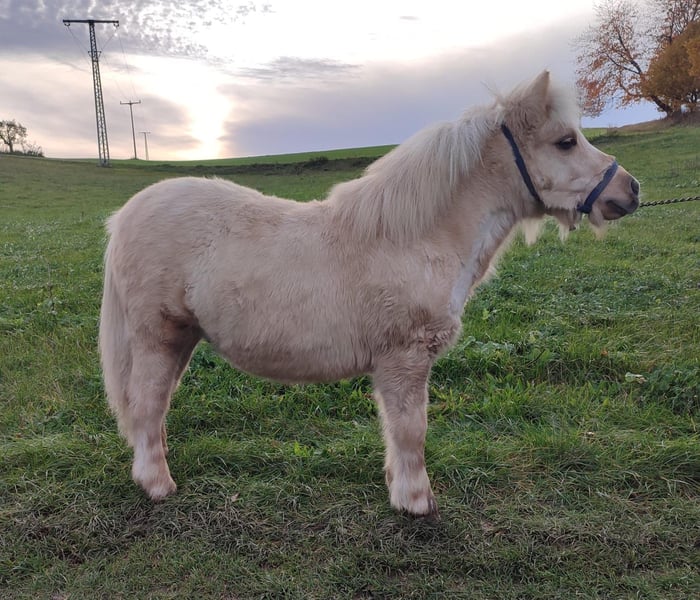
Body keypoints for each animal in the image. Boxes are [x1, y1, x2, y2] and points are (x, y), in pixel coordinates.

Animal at [99, 71, 640, 520]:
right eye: (565, 141)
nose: (631, 189)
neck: (416, 237)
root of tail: (125, 216)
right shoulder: (405, 358)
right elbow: (411, 430)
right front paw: (417, 502)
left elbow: (396, 433)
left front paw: (399, 489)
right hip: (158, 336)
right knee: (145, 404)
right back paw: (157, 485)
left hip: (182, 339)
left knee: (154, 408)